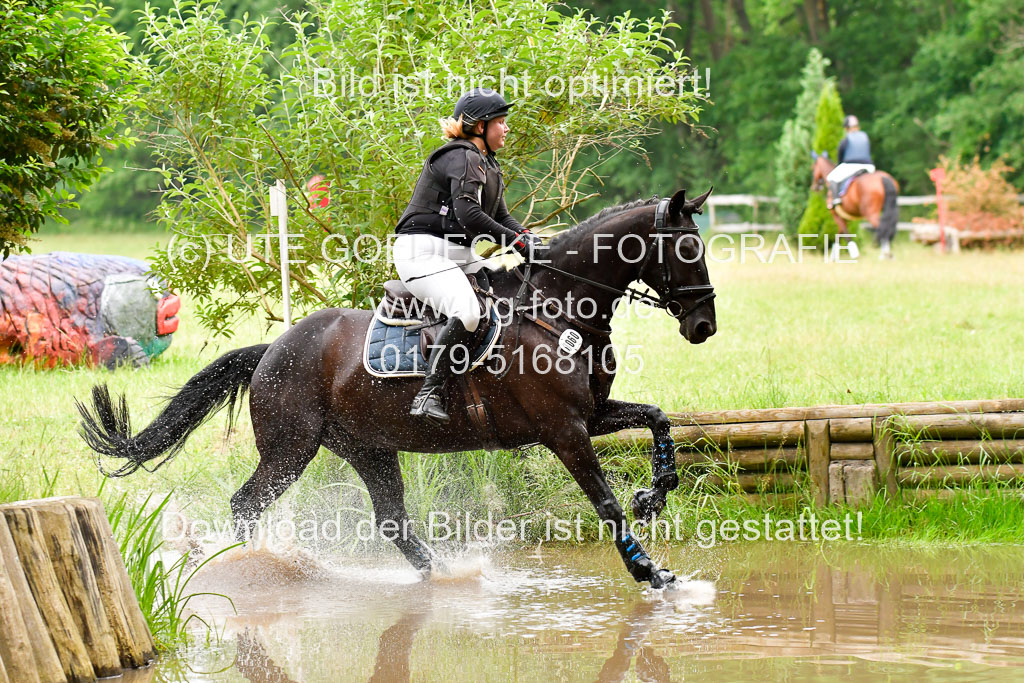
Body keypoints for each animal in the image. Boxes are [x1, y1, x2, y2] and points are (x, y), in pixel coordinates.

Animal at [77, 189, 720, 589]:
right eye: (688, 248)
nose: (703, 327)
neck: (557, 307)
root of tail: (275, 349)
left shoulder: (591, 413)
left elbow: (658, 417)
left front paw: (656, 492)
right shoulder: (563, 430)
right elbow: (605, 503)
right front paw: (652, 573)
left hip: (367, 446)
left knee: (390, 518)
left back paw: (443, 577)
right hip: (290, 449)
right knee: (246, 504)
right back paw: (252, 566)